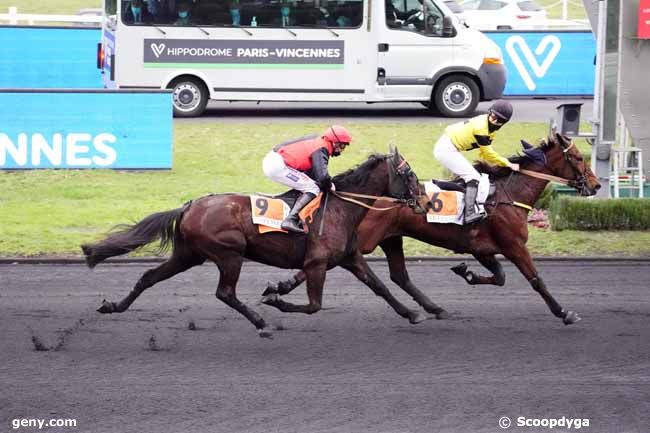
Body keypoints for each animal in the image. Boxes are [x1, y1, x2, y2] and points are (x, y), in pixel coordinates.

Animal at [81, 149, 422, 338]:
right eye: (409, 174)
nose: (423, 201)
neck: (341, 206)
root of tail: (189, 206)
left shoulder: (350, 258)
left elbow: (380, 287)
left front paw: (411, 313)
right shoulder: (317, 263)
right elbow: (314, 306)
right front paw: (274, 299)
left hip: (188, 255)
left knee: (148, 277)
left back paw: (113, 306)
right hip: (229, 254)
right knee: (225, 293)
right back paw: (261, 323)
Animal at [262, 133, 596, 326]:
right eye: (578, 157)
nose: (595, 185)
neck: (507, 194)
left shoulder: (484, 248)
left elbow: (499, 277)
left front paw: (466, 272)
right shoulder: (514, 245)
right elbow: (536, 280)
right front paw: (564, 312)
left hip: (392, 239)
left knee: (399, 276)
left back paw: (434, 308)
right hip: (367, 240)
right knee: (327, 262)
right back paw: (280, 287)